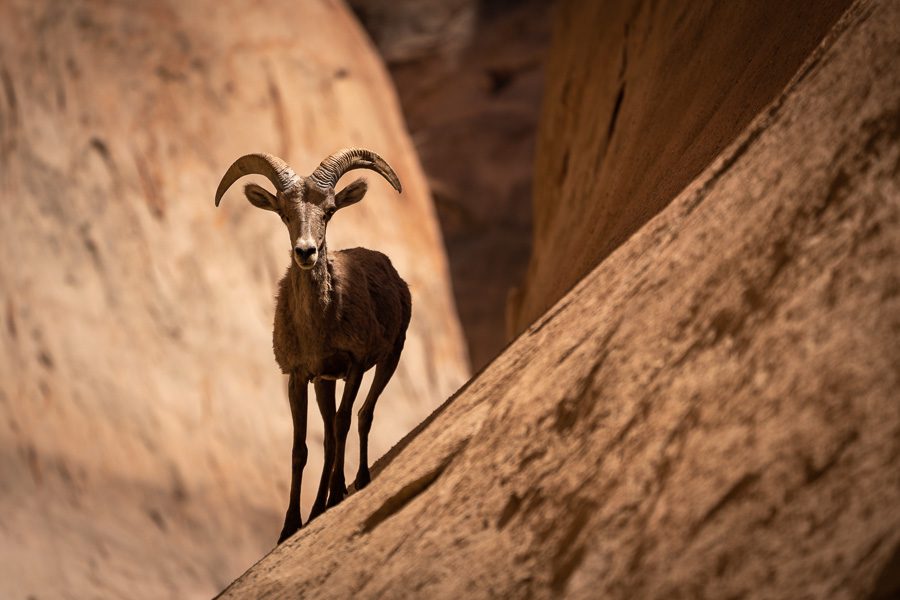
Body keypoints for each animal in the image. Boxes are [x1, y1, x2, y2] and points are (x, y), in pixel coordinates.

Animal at [213, 149, 410, 544]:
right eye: (284, 213)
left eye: (330, 211)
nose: (306, 251)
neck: (318, 326)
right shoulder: (300, 376)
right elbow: (301, 448)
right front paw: (290, 526)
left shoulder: (354, 366)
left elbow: (344, 423)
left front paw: (336, 496)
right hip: (325, 384)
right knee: (330, 437)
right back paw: (319, 506)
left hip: (390, 359)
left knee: (362, 416)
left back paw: (357, 481)